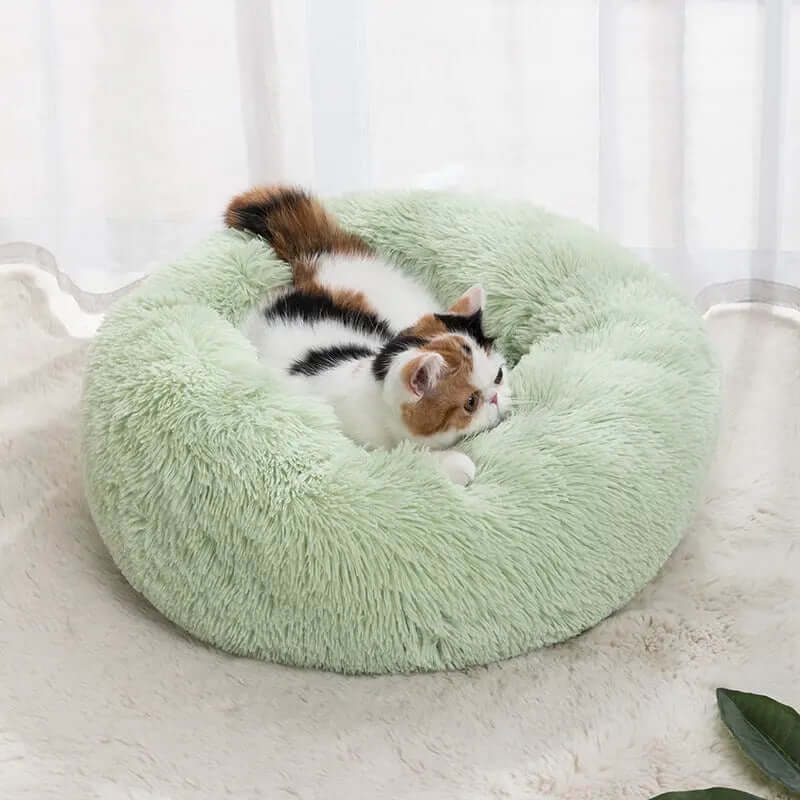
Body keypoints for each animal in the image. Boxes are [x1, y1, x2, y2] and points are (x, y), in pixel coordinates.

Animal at [223, 188, 512, 484]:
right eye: (470, 402)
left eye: (499, 376)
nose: (495, 397)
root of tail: (320, 260)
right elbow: (408, 460)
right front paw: (456, 464)